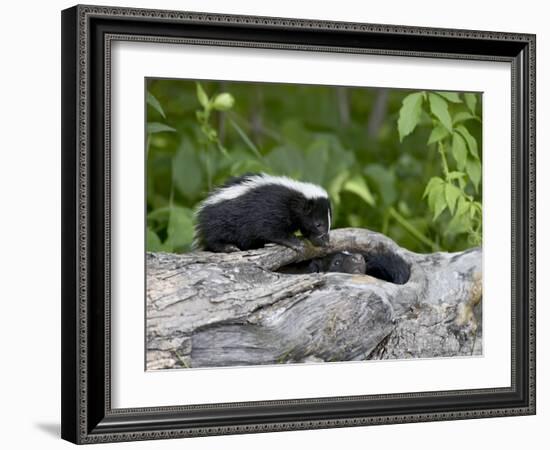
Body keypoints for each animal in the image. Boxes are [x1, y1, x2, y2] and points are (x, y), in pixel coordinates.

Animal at [194, 173, 332, 253]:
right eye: (318, 224)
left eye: (329, 222)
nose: (325, 237)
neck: (294, 198)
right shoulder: (271, 209)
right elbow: (272, 230)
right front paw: (295, 243)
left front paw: (318, 240)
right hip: (220, 221)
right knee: (215, 238)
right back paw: (228, 247)